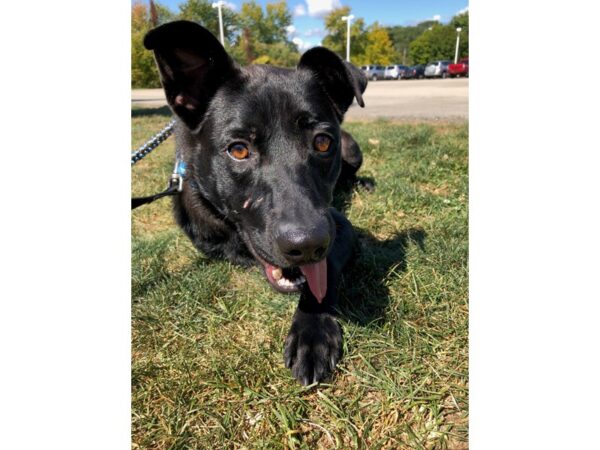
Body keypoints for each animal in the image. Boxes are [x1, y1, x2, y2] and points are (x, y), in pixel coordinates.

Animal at [145, 21, 368, 384]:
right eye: (238, 149)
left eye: (322, 142)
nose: (307, 245)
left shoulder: (339, 227)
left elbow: (325, 273)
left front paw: (313, 331)